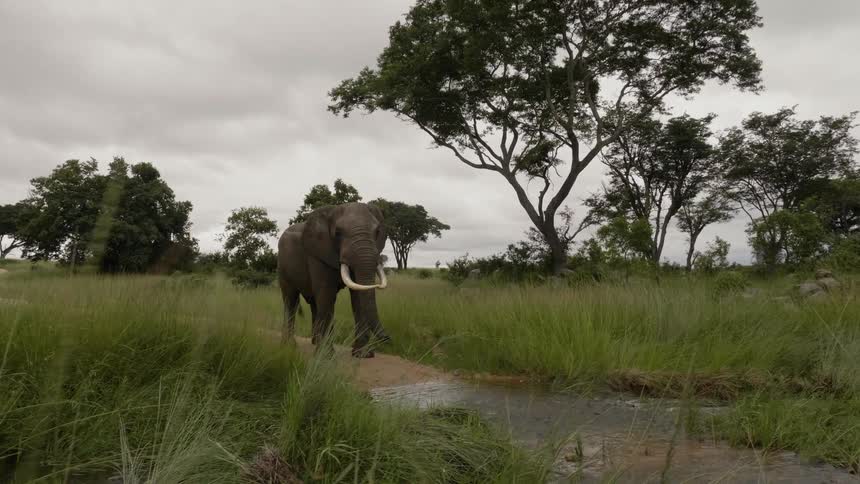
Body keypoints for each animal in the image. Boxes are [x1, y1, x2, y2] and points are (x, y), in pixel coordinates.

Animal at [277, 202, 391, 357]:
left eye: (377, 231)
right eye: (338, 233)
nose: (388, 338)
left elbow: (357, 297)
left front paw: (363, 355)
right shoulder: (317, 253)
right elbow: (326, 293)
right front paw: (326, 356)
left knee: (314, 302)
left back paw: (315, 342)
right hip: (282, 266)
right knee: (291, 300)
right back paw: (289, 346)